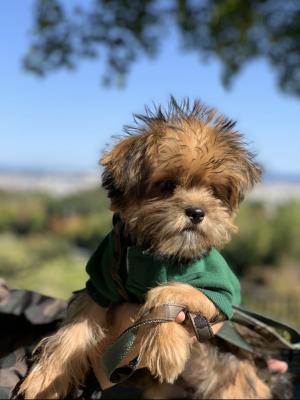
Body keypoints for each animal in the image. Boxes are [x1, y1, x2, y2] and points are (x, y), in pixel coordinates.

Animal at [18, 97, 268, 400]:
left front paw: (167, 349)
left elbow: (173, 292)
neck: (156, 252)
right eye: (167, 185)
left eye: (214, 191)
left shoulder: (220, 290)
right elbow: (73, 331)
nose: (197, 212)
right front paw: (44, 380)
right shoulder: (100, 283)